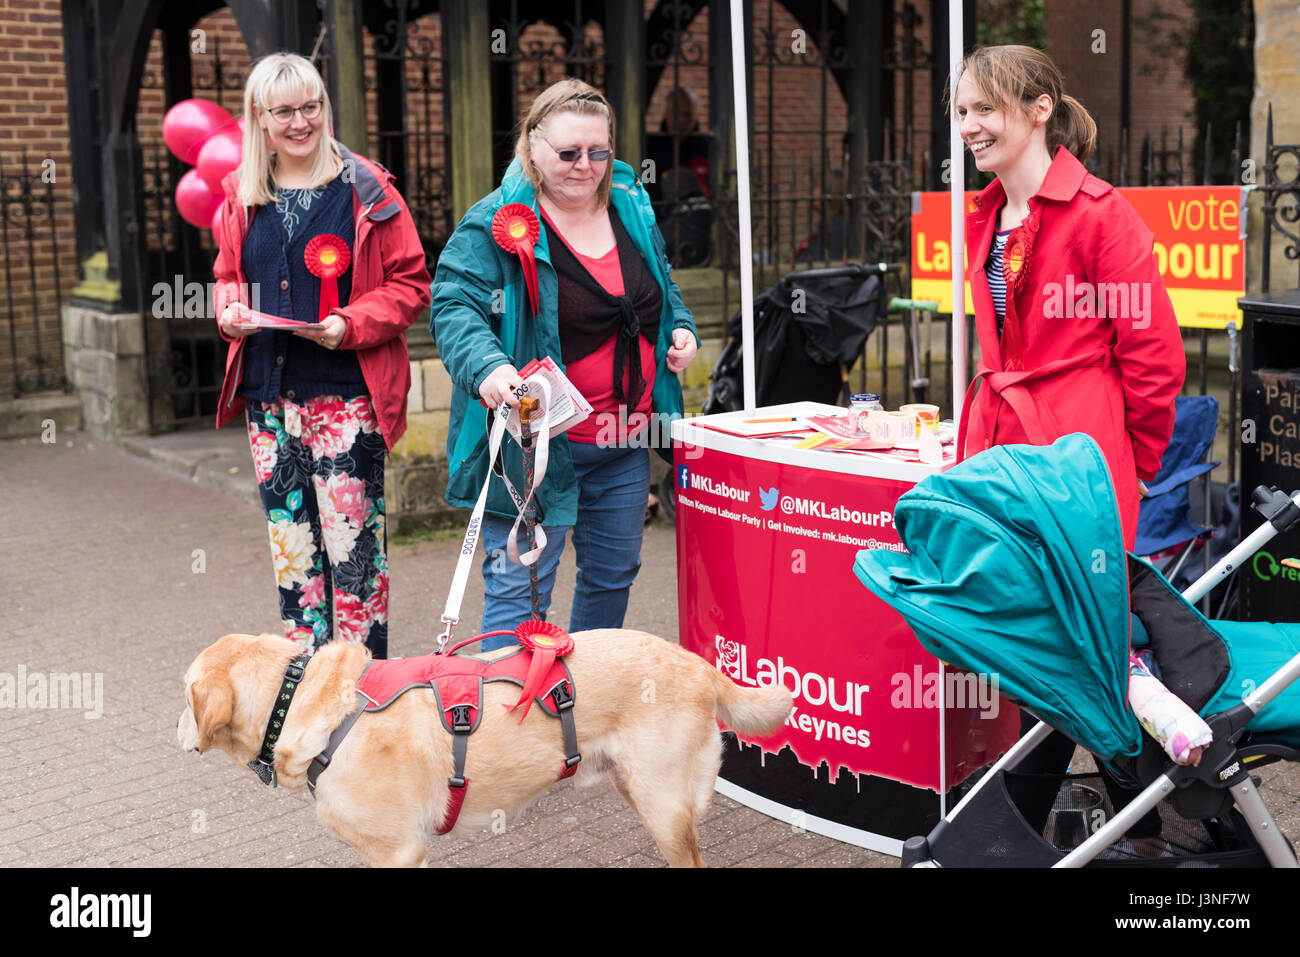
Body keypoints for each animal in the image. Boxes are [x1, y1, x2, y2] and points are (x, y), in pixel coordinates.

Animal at [179, 629, 790, 868]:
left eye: (185, 694)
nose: (175, 729)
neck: (311, 704)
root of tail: (700, 665)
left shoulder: (399, 851)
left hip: (663, 805)